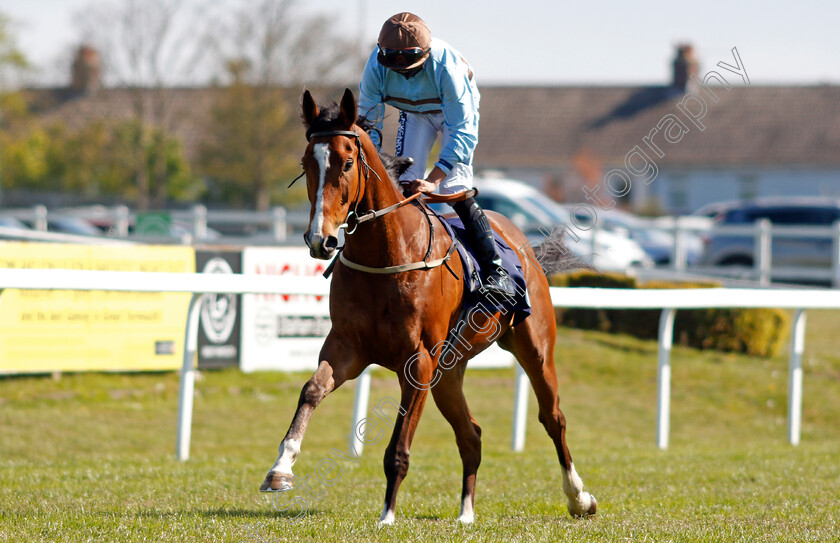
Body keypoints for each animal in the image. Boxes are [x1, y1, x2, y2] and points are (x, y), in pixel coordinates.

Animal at [260, 89, 592, 528]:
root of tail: (524, 245)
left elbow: (398, 447)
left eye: (346, 162)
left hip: (534, 347)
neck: (387, 255)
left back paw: (579, 497)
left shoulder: (417, 362)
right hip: (449, 372)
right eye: (305, 164)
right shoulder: (347, 347)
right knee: (471, 434)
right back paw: (466, 513)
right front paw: (281, 468)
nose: (321, 240)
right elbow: (312, 390)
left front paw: (387, 516)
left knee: (553, 418)